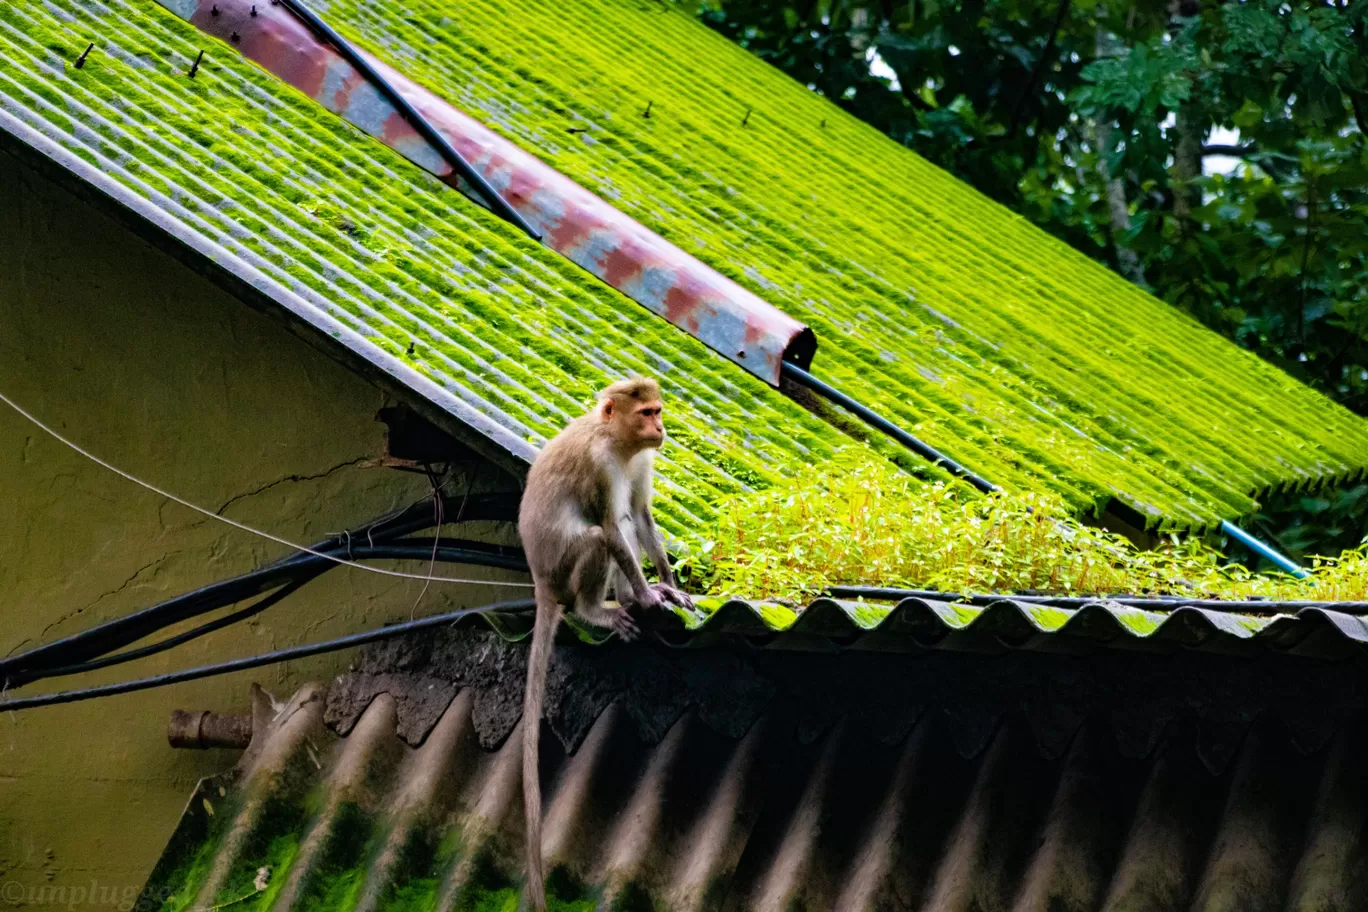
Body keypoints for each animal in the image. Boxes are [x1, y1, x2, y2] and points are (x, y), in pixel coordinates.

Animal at [519, 374, 700, 907]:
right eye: (646, 413)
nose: (660, 429)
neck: (618, 444)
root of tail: (541, 582)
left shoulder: (642, 460)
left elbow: (640, 515)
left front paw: (668, 586)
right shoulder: (601, 466)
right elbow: (612, 527)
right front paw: (647, 593)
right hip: (564, 567)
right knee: (600, 535)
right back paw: (598, 609)